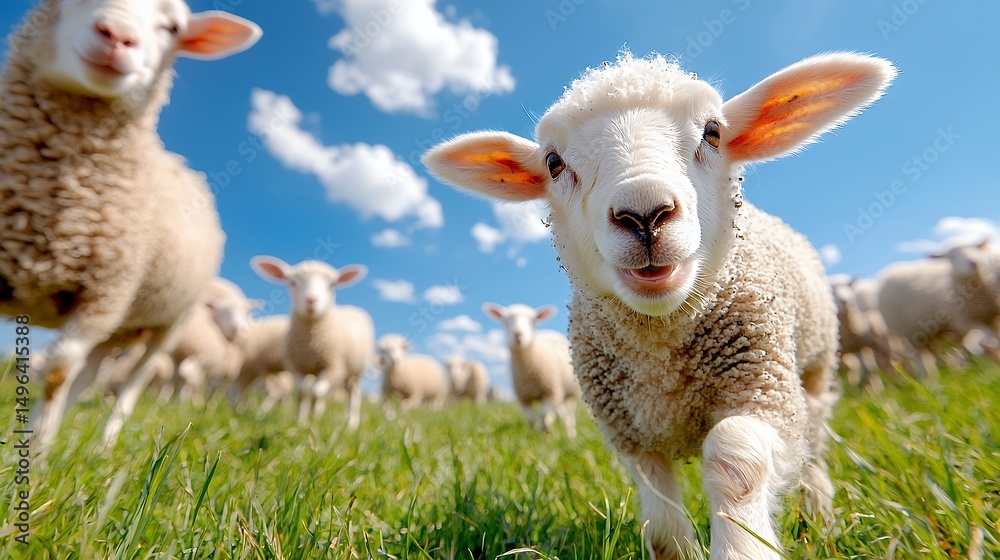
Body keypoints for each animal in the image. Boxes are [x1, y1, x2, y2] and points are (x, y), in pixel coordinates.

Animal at [1, 0, 261, 450]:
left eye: (172, 28)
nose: (119, 36)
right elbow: (67, 376)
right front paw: (40, 445)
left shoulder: (105, 292)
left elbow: (57, 372)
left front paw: (32, 457)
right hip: (120, 328)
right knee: (88, 377)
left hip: (165, 326)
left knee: (129, 385)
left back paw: (104, 442)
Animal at [251, 256, 374, 430]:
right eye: (292, 282)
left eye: (332, 284)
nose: (311, 301)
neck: (311, 344)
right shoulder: (296, 367)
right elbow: (303, 393)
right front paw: (301, 422)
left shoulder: (333, 366)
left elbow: (316, 392)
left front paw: (314, 419)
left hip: (354, 371)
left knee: (353, 393)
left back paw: (351, 424)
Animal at [482, 303, 580, 437]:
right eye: (505, 320)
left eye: (533, 321)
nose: (518, 335)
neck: (528, 372)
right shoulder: (523, 397)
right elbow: (531, 418)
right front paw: (535, 435)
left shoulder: (550, 392)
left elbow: (544, 416)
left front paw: (547, 434)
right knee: (562, 413)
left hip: (571, 393)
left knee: (569, 415)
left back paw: (571, 434)